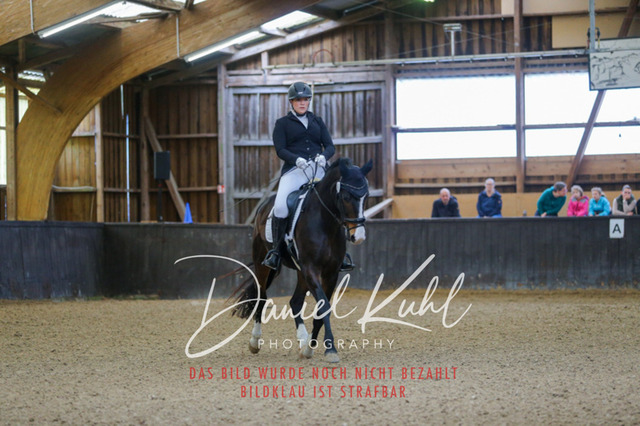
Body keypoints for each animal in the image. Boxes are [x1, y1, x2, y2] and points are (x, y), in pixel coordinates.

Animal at [232, 158, 373, 363]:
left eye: (366, 196)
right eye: (346, 197)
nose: (359, 236)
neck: (325, 223)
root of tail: (264, 205)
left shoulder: (330, 273)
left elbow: (321, 309)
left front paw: (310, 347)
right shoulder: (311, 269)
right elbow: (324, 307)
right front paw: (330, 349)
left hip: (300, 272)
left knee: (295, 301)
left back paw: (303, 339)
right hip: (262, 263)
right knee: (262, 296)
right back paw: (255, 342)